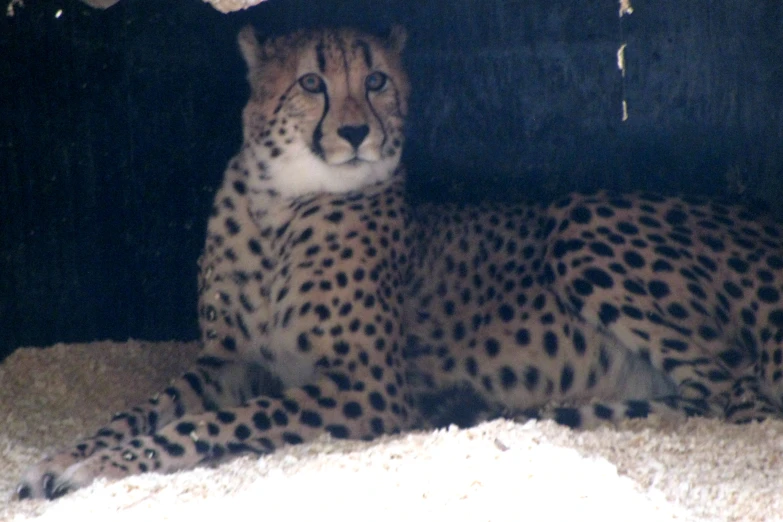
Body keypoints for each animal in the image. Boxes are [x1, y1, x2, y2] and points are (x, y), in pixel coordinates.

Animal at [15, 25, 783, 500]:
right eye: (312, 83)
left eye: (378, 79)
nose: (356, 131)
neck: (281, 203)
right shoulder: (226, 360)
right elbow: (146, 408)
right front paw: (64, 456)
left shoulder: (367, 387)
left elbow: (212, 425)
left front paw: (103, 467)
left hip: (579, 221)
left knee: (732, 395)